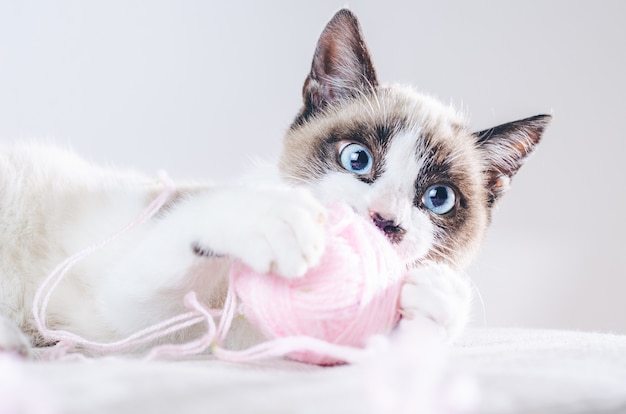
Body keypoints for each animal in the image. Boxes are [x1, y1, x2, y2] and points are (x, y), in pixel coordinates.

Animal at [0, 10, 544, 360]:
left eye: (438, 198)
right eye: (357, 159)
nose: (384, 222)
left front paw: (438, 294)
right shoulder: (129, 317)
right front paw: (270, 219)